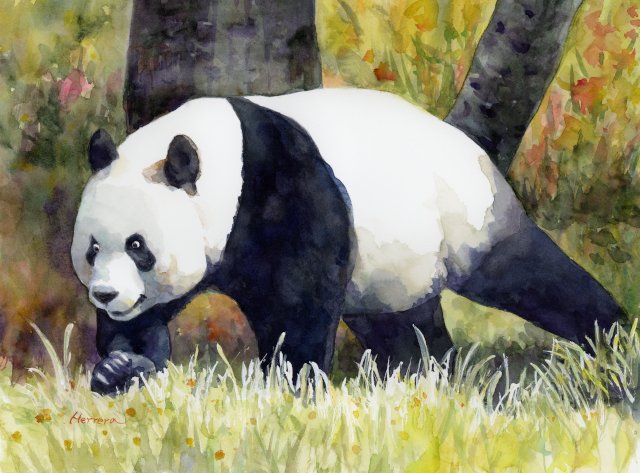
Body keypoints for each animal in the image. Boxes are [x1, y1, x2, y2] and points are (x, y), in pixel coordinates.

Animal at [71, 88, 624, 395]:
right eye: (93, 249)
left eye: (139, 246)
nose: (105, 294)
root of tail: (474, 151)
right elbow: (144, 325)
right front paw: (119, 368)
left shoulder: (284, 187)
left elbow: (301, 299)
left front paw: (289, 384)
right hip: (395, 266)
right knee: (402, 326)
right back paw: (427, 375)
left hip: (469, 220)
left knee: (531, 275)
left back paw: (613, 341)